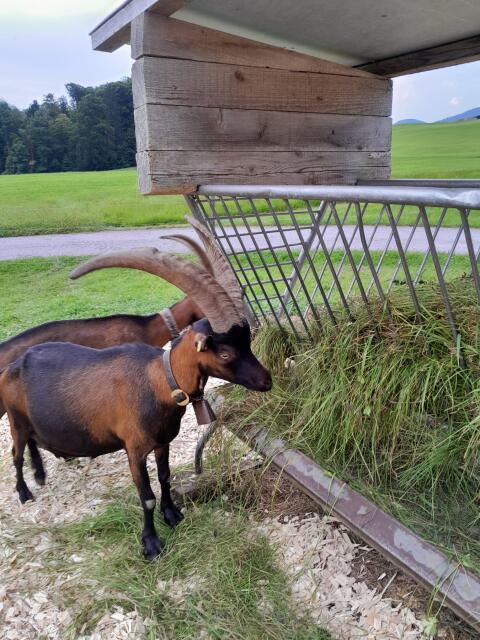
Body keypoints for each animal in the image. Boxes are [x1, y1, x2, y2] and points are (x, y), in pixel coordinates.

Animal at [1, 231, 271, 559]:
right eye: (225, 352)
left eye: (247, 343)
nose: (266, 381)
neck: (159, 382)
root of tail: (13, 366)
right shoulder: (135, 448)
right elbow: (147, 497)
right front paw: (151, 544)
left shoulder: (163, 441)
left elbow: (165, 477)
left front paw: (173, 515)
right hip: (15, 418)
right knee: (15, 453)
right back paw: (24, 492)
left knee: (32, 442)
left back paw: (42, 473)